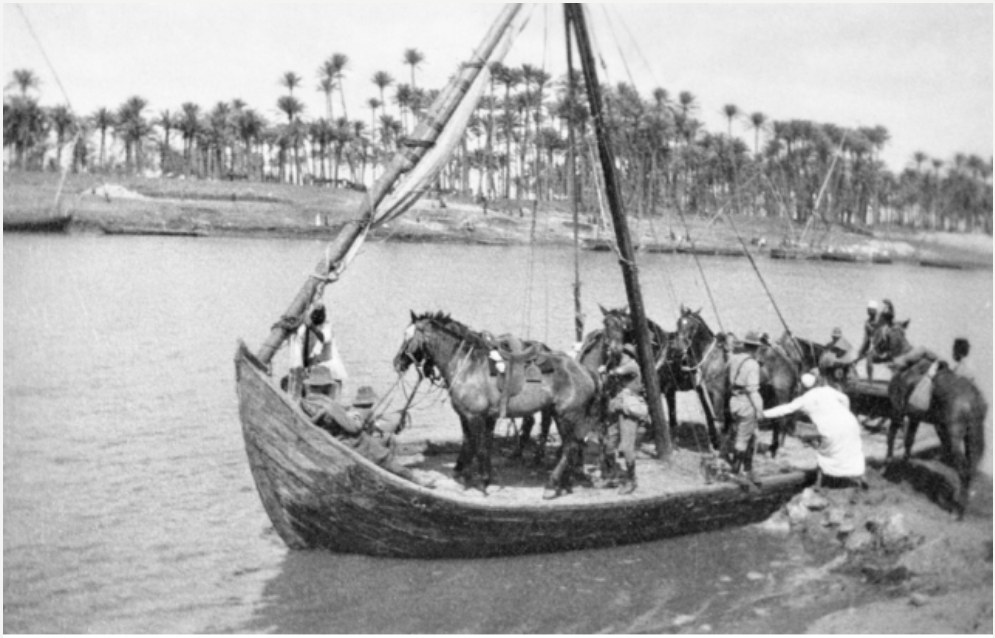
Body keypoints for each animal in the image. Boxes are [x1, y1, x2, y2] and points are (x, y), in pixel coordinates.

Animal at [392, 312, 600, 500]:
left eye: (407, 336)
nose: (397, 362)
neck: (467, 366)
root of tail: (584, 371)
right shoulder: (468, 416)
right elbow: (470, 444)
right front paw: (465, 476)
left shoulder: (475, 416)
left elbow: (480, 447)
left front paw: (482, 482)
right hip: (560, 415)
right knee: (572, 446)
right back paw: (564, 484)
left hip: (567, 416)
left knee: (570, 448)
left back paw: (552, 485)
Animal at [668, 308, 800, 458]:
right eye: (678, 323)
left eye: (692, 326)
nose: (678, 348)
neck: (712, 358)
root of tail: (790, 361)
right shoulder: (706, 394)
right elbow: (714, 419)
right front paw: (717, 446)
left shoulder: (718, 395)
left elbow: (718, 419)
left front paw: (718, 448)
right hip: (772, 397)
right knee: (777, 420)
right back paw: (772, 449)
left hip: (781, 396)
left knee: (781, 420)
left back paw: (775, 451)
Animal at [872, 320, 988, 520]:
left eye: (878, 333)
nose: (872, 353)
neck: (907, 364)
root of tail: (972, 399)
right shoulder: (914, 417)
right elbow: (909, 441)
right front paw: (905, 467)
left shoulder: (897, 412)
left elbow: (891, 437)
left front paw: (886, 467)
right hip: (967, 436)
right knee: (968, 466)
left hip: (952, 435)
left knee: (963, 469)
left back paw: (957, 510)